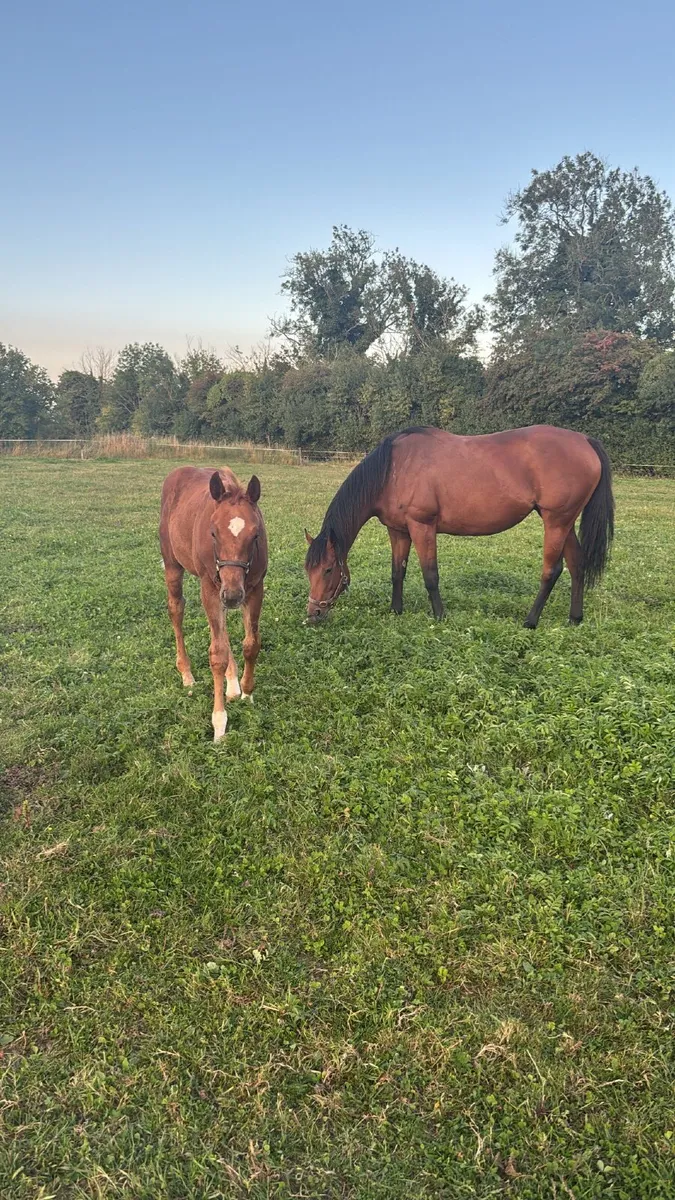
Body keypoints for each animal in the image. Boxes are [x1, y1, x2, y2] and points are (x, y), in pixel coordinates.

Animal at [159, 466, 267, 741]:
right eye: (213, 533)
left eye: (255, 534)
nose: (232, 596)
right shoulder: (211, 588)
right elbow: (217, 655)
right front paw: (219, 723)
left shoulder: (254, 589)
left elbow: (251, 644)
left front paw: (247, 692)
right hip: (174, 566)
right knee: (176, 609)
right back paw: (186, 673)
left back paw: (233, 685)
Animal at [304, 425, 614, 627]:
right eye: (308, 570)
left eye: (329, 569)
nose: (313, 614)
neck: (393, 468)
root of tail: (585, 440)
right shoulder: (398, 531)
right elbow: (397, 573)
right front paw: (396, 611)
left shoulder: (422, 527)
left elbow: (430, 575)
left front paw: (440, 616)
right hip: (566, 522)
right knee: (576, 565)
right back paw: (574, 619)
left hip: (556, 522)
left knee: (552, 571)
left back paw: (530, 621)